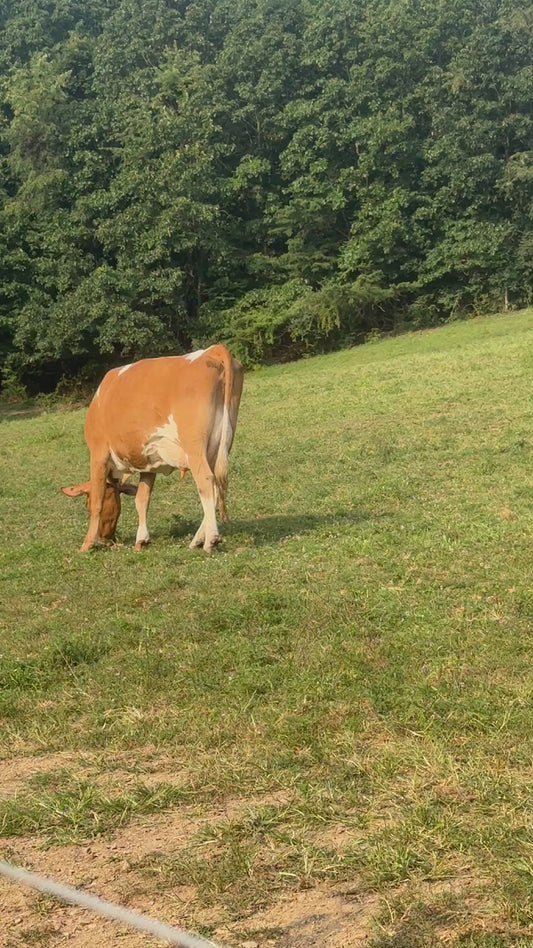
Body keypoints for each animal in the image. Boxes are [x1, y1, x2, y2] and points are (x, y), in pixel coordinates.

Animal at [61, 345, 243, 553]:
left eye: (86, 504)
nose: (106, 538)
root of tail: (213, 350)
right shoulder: (148, 463)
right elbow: (142, 499)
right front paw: (141, 539)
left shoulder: (98, 454)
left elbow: (99, 500)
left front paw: (87, 543)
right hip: (221, 444)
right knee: (216, 485)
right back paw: (197, 539)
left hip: (195, 448)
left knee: (206, 481)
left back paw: (211, 539)